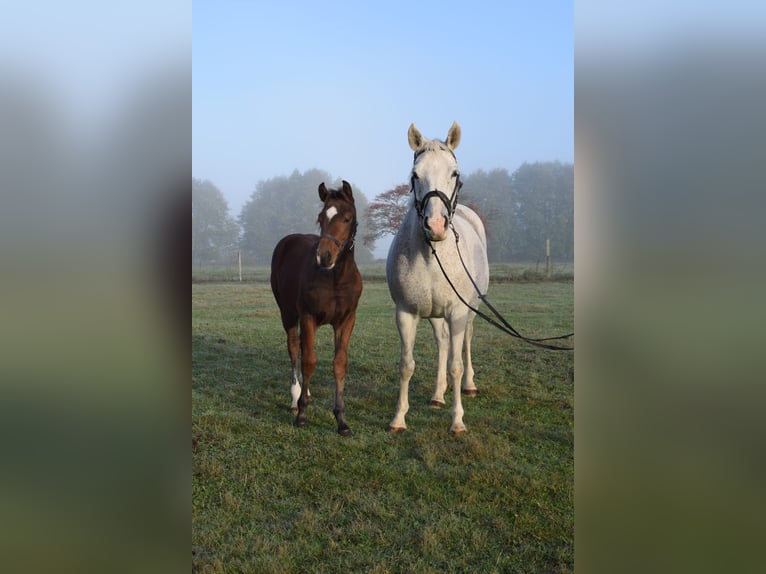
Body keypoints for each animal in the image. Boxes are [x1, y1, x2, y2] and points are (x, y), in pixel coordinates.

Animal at [272, 182, 364, 438]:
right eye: (321, 218)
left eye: (347, 218)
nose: (324, 256)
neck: (335, 278)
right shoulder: (308, 317)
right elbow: (309, 361)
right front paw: (302, 415)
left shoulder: (346, 320)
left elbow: (339, 363)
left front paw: (341, 420)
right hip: (287, 313)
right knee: (295, 348)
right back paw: (296, 398)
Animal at [388, 122, 488, 436]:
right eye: (414, 175)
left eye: (454, 173)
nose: (435, 226)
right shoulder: (406, 313)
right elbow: (406, 365)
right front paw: (399, 418)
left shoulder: (457, 312)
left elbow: (456, 365)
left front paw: (457, 421)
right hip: (434, 314)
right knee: (443, 343)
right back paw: (437, 395)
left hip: (470, 311)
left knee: (465, 342)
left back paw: (468, 386)